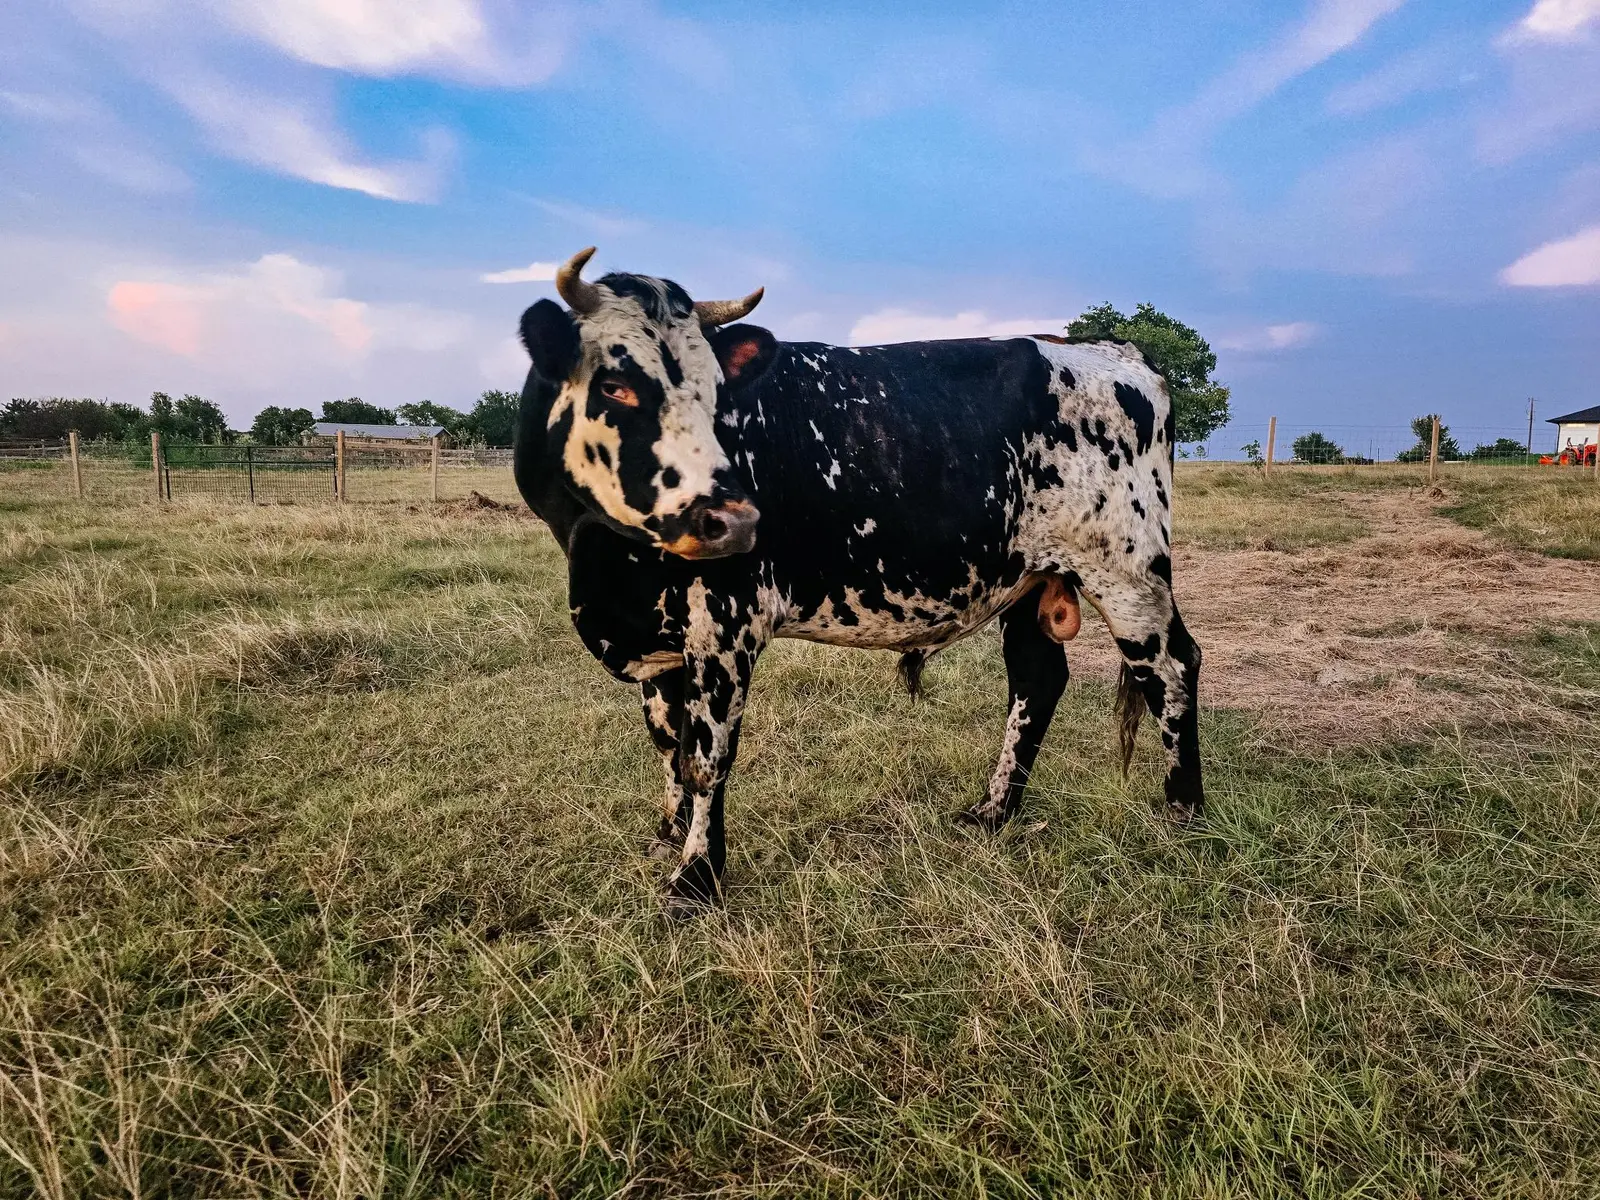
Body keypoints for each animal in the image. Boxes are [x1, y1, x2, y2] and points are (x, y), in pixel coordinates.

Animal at [513, 247, 1203, 912]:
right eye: (616, 385)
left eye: (715, 396)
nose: (733, 520)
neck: (601, 555)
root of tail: (1114, 351)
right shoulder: (656, 642)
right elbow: (668, 743)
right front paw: (670, 835)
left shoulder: (727, 621)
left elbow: (707, 756)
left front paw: (696, 878)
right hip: (1031, 577)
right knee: (1037, 680)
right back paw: (993, 813)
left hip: (1127, 573)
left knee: (1172, 668)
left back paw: (1185, 815)